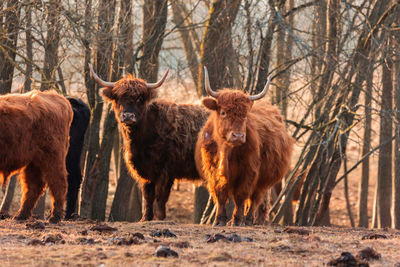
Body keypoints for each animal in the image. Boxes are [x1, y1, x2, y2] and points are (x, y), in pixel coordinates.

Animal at [0, 90, 72, 224]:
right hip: (33, 161)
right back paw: (21, 215)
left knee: (58, 182)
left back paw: (55, 217)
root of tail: (56, 97)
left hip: (52, 157)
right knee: (33, 186)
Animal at [89, 64, 209, 222]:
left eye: (140, 98)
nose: (128, 116)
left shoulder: (166, 170)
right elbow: (148, 196)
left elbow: (161, 195)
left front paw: (159, 218)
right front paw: (145, 218)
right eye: (118, 97)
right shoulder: (145, 171)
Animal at [196, 68, 294, 227]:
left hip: (263, 179)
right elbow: (220, 194)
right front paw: (219, 220)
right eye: (223, 112)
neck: (226, 151)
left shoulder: (249, 170)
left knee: (255, 198)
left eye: (245, 115)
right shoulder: (213, 170)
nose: (238, 136)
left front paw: (237, 220)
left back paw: (249, 220)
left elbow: (241, 196)